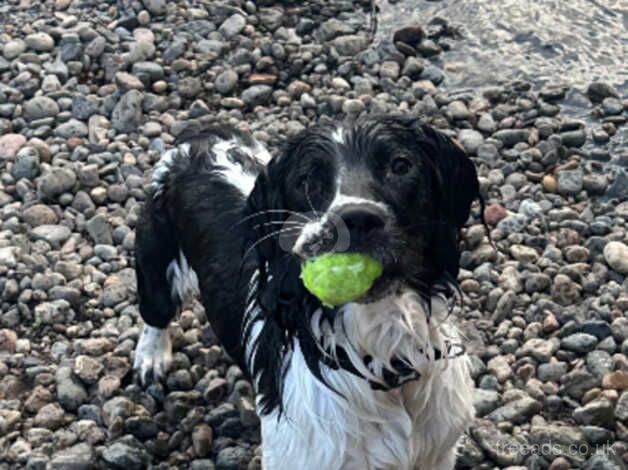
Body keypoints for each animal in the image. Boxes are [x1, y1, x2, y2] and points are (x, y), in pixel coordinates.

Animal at [132, 114, 480, 470]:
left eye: (400, 165)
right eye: (306, 180)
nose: (357, 219)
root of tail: (201, 136)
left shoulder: (437, 451)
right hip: (157, 256)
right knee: (154, 312)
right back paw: (151, 358)